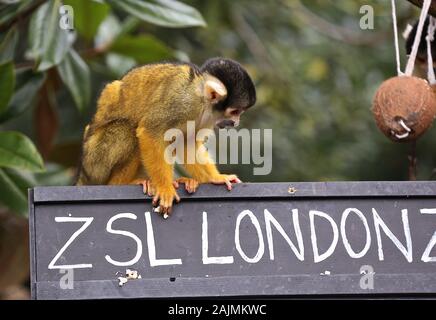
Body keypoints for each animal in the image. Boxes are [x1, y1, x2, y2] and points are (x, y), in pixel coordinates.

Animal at [77, 57, 258, 218]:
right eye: (235, 111)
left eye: (240, 113)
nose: (236, 122)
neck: (202, 101)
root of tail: (83, 172)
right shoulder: (181, 103)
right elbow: (150, 132)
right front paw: (165, 189)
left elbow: (188, 143)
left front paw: (216, 178)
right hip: (95, 162)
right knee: (127, 130)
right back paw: (124, 182)